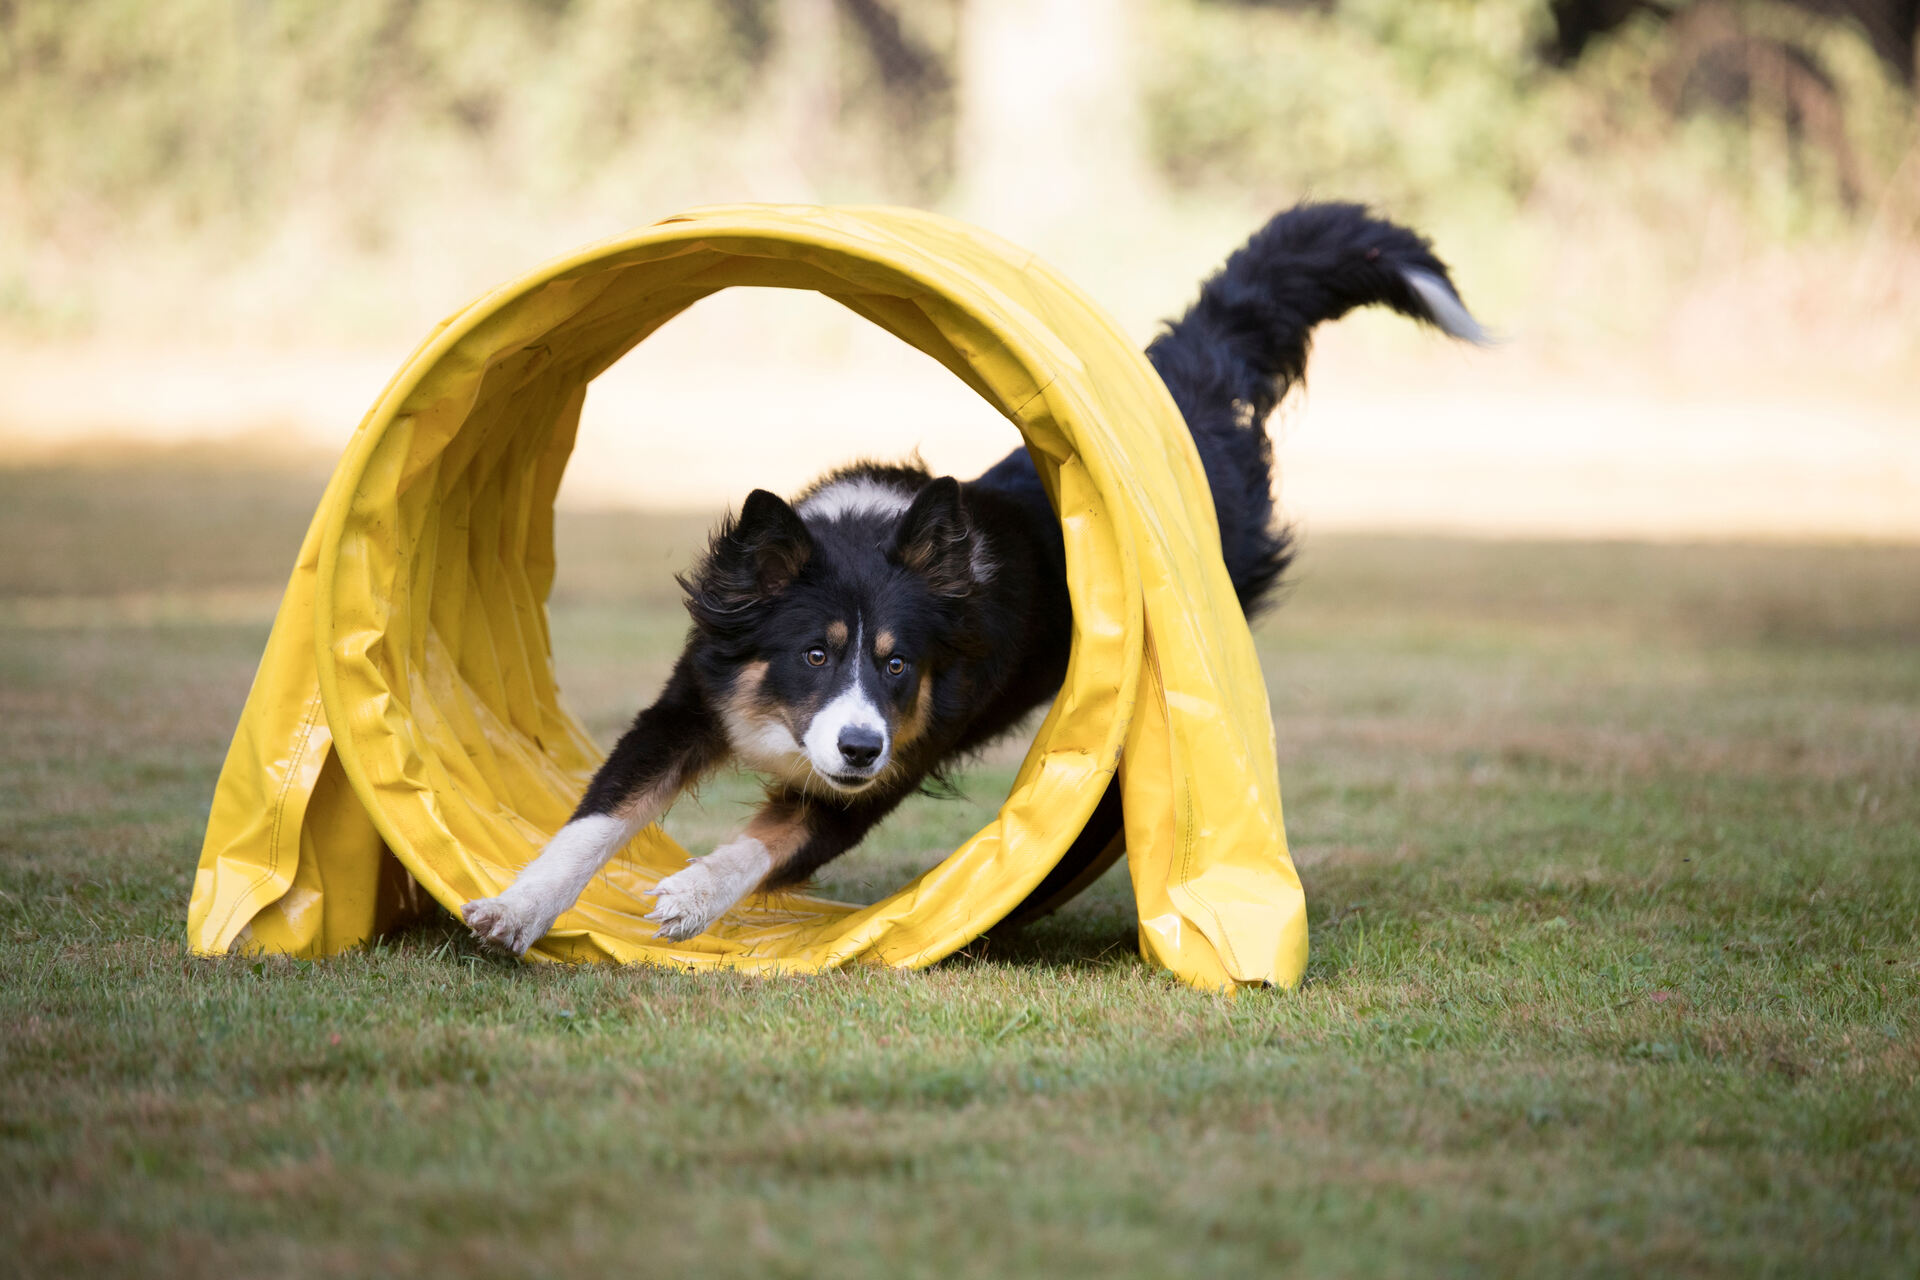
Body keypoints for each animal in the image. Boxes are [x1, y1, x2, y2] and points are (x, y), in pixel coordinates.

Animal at [460, 202, 1482, 951]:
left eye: (898, 665)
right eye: (814, 654)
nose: (857, 747)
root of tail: (1188, 401)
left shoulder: (889, 770)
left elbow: (763, 843)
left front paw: (688, 896)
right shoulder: (691, 700)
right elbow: (596, 818)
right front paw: (517, 908)